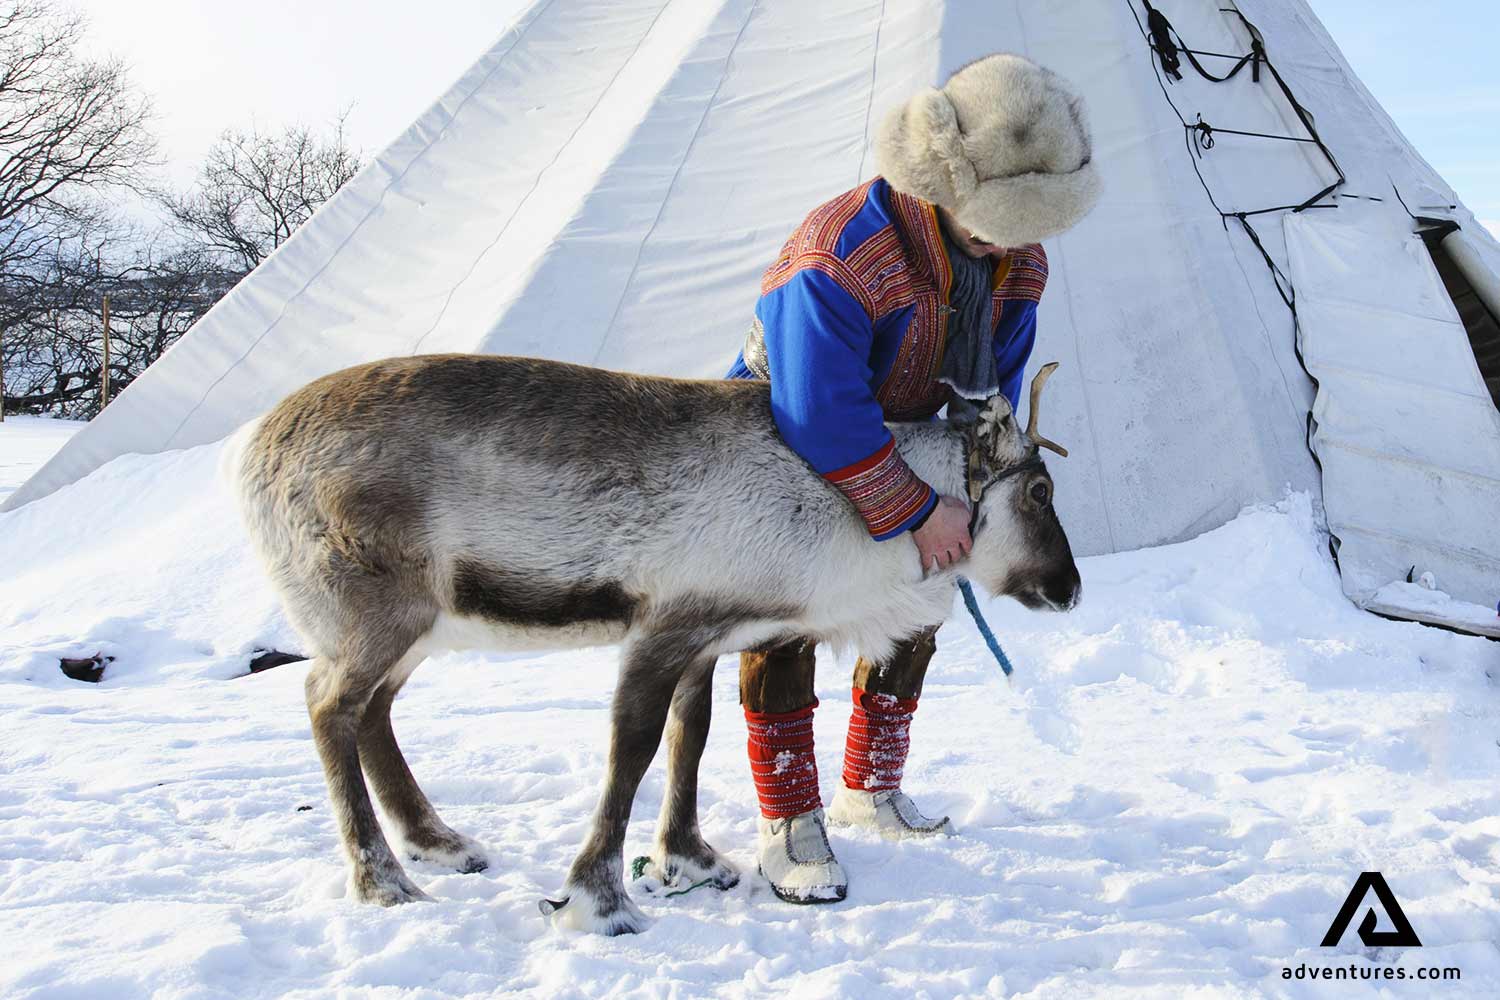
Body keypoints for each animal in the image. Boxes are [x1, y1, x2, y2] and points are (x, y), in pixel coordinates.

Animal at [227, 353, 1080, 935]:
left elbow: (689, 738)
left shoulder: (707, 639)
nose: (1070, 588)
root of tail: (249, 454)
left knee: (373, 713)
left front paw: (689, 860)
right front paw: (597, 900)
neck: (840, 517)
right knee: (328, 706)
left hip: (416, 628)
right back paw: (385, 881)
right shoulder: (662, 629)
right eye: (1040, 492)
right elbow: (631, 749)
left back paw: (439, 843)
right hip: (372, 613)